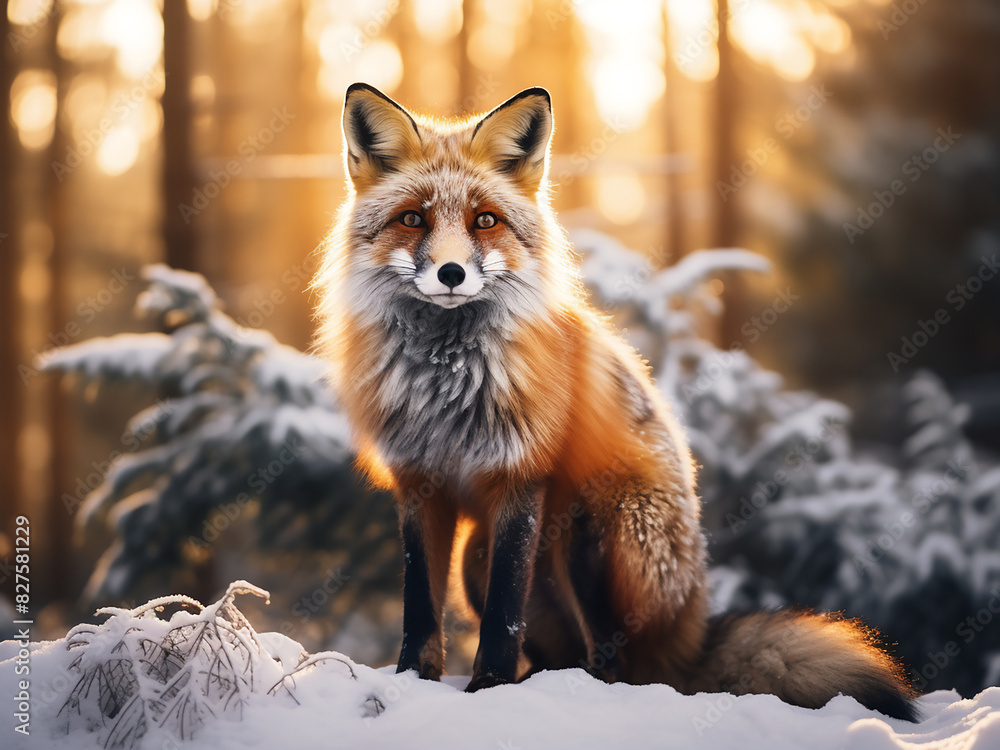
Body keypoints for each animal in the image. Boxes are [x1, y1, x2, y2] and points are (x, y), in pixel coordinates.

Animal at [314, 82, 918, 721]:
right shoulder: (418, 484)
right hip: (478, 560)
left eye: (485, 220)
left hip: (591, 529)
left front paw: (489, 692)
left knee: (616, 664)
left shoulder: (520, 479)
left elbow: (503, 617)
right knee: (568, 653)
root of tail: (691, 632)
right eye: (412, 218)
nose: (451, 272)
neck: (446, 386)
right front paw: (410, 683)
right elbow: (419, 608)